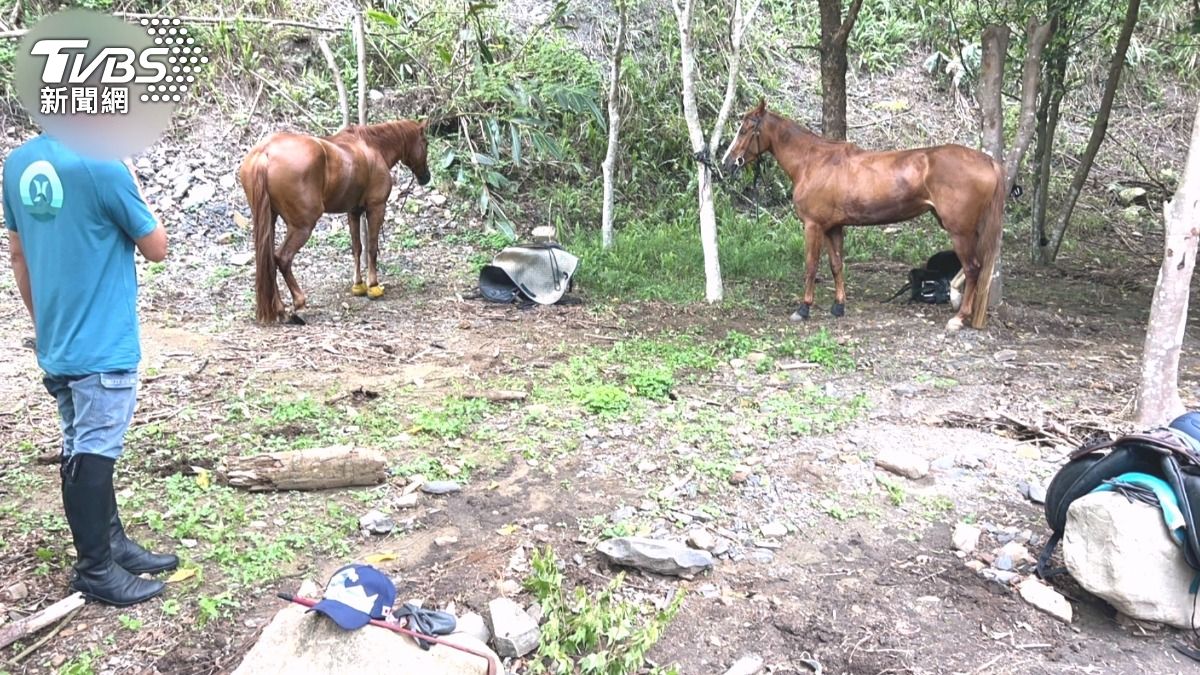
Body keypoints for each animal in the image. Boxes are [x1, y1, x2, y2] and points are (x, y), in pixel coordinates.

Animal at [238, 119, 432, 324]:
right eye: (425, 143)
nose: (426, 177)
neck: (373, 147)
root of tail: (265, 152)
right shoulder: (376, 207)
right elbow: (372, 248)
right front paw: (373, 286)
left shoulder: (353, 211)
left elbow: (357, 248)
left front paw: (358, 285)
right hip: (302, 226)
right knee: (282, 258)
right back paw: (297, 305)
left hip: (269, 220)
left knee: (269, 261)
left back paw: (279, 310)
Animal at [720, 100, 1005, 331]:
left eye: (744, 130)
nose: (727, 162)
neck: (813, 162)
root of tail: (988, 161)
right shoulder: (833, 228)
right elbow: (836, 265)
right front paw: (838, 307)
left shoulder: (813, 226)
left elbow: (811, 266)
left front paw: (803, 309)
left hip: (960, 232)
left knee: (973, 269)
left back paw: (959, 318)